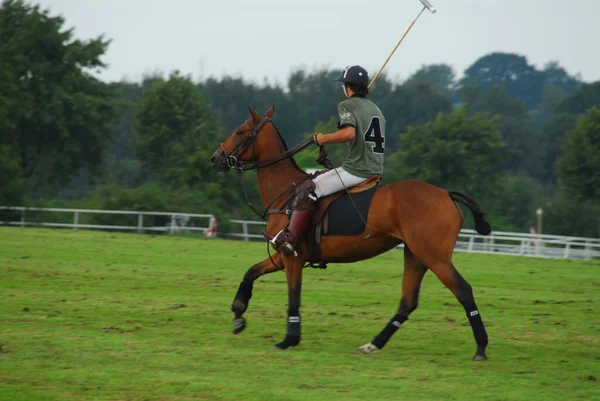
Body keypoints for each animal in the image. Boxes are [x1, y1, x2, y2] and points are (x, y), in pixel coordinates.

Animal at [211, 105, 492, 360]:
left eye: (240, 131)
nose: (215, 158)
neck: (284, 192)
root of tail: (446, 194)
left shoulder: (292, 256)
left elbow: (293, 296)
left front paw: (289, 339)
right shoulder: (281, 256)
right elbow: (250, 273)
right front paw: (238, 315)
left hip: (434, 256)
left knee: (463, 290)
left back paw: (481, 348)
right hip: (415, 255)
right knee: (407, 302)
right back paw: (372, 345)